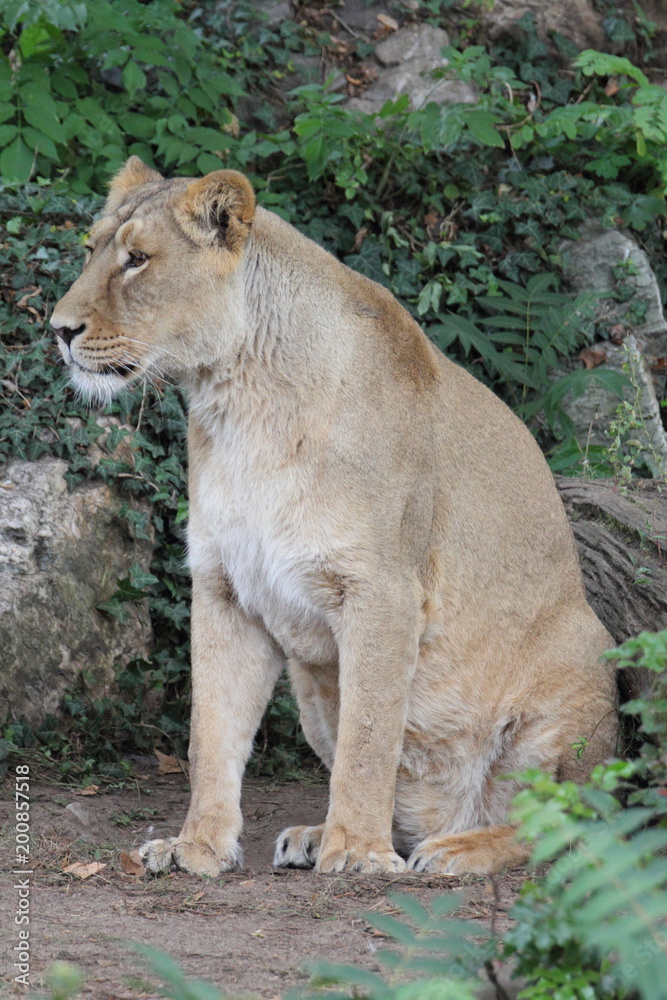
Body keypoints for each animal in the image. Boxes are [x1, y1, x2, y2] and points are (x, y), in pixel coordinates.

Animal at [51, 157, 618, 877]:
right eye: (90, 249)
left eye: (138, 260)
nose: (58, 329)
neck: (238, 400)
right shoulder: (223, 585)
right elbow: (210, 732)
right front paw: (196, 845)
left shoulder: (383, 590)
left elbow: (370, 734)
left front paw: (358, 851)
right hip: (309, 685)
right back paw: (319, 834)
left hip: (578, 668)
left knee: (576, 822)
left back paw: (452, 849)